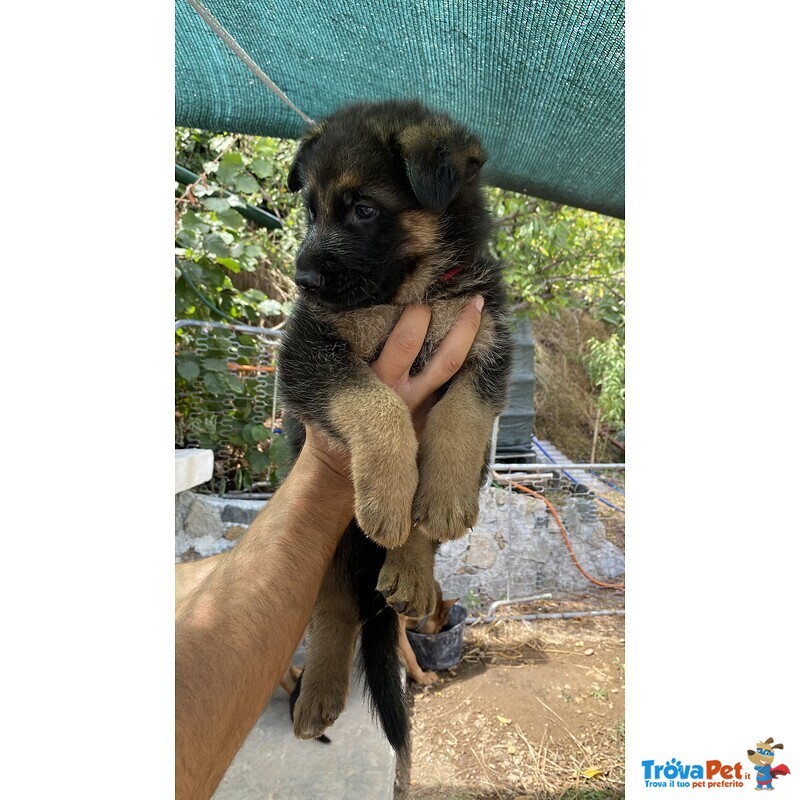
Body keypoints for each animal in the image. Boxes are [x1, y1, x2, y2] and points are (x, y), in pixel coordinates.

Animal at [278, 100, 510, 756]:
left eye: (363, 209)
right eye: (311, 211)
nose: (303, 281)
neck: (412, 292)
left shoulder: (488, 341)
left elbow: (462, 413)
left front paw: (443, 494)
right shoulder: (309, 351)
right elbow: (375, 402)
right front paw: (386, 490)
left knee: (416, 537)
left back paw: (411, 569)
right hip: (329, 548)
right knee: (336, 611)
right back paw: (319, 695)